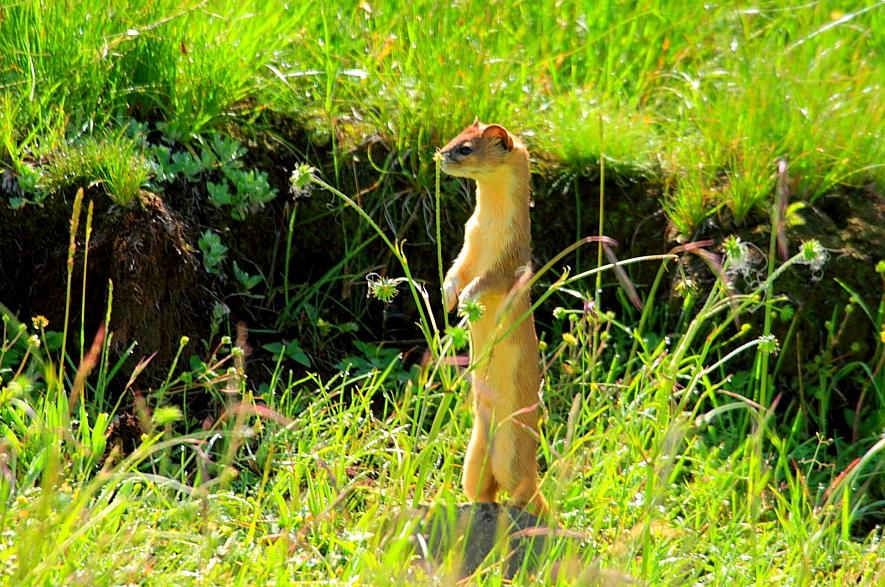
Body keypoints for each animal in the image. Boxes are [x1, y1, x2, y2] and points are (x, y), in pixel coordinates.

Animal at [436, 119, 544, 516]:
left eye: (465, 148)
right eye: (453, 138)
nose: (440, 155)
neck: (488, 228)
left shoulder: (508, 260)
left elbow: (487, 281)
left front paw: (467, 300)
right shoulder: (468, 243)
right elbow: (456, 271)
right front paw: (448, 295)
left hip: (513, 453)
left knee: (524, 493)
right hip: (474, 451)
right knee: (480, 486)